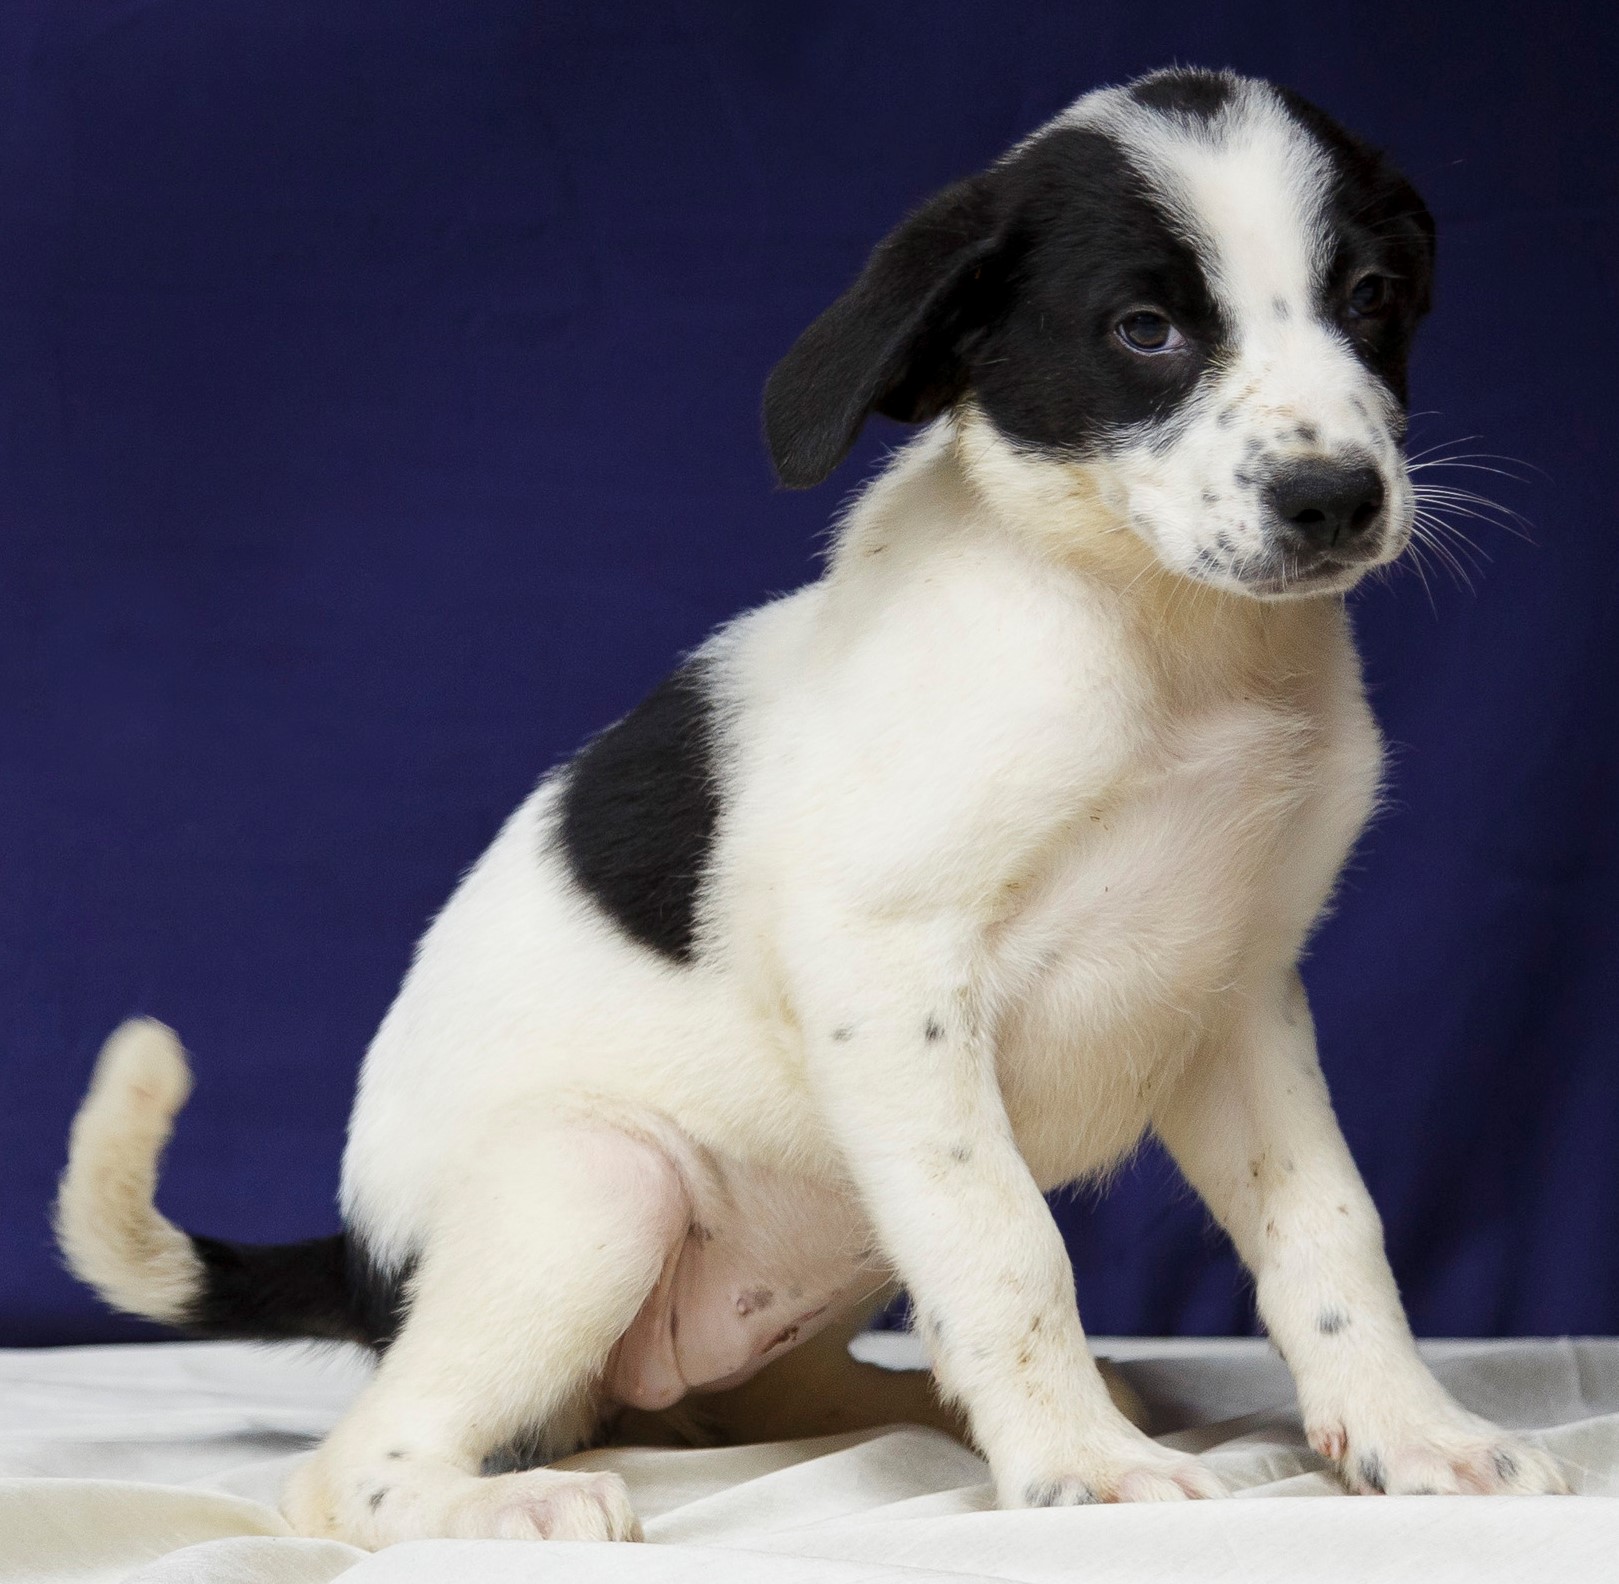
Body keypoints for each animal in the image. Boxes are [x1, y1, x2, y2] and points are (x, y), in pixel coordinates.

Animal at [59, 68, 1567, 1535]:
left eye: (1366, 297)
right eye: (1143, 331)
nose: (1334, 498)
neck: (1156, 637)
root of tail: (368, 1266)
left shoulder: (1237, 996)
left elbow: (1330, 1236)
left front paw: (1412, 1434)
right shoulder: (885, 964)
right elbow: (1005, 1244)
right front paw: (1080, 1468)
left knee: (769, 1393)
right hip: (595, 1188)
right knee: (344, 1472)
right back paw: (503, 1504)